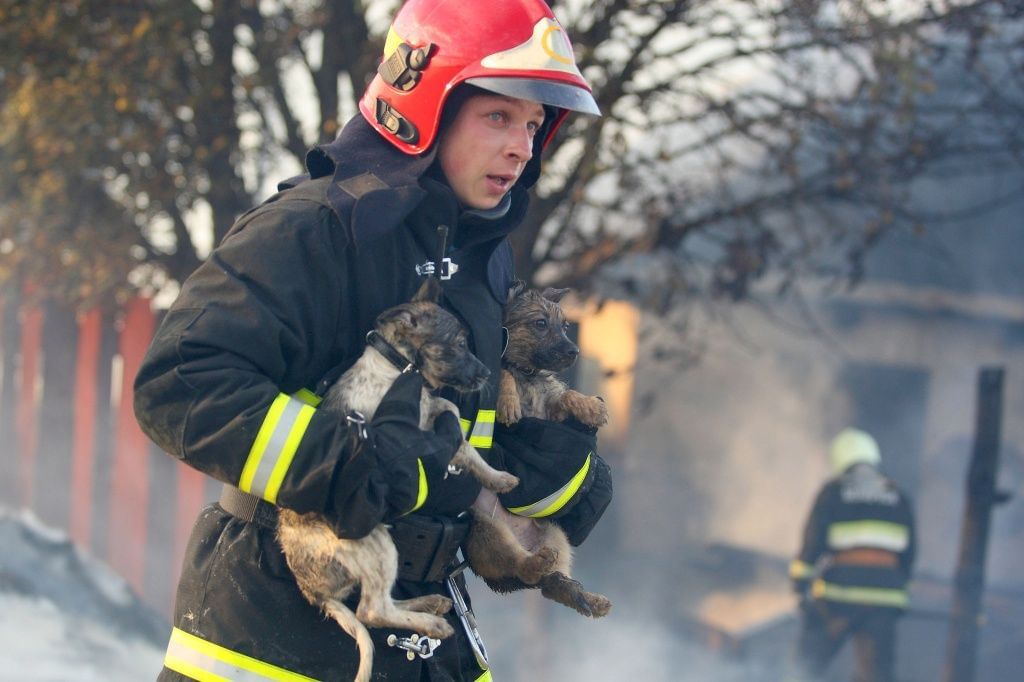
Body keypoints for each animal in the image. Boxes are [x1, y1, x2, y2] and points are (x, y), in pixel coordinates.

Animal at [278, 276, 520, 679]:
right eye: (458, 344)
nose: (487, 375)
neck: (399, 369)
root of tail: (315, 592)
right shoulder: (417, 424)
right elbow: (456, 434)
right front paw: (487, 474)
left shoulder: (430, 407)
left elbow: (454, 422)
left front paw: (490, 476)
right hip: (375, 542)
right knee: (372, 610)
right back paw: (431, 623)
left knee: (382, 601)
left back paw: (430, 604)